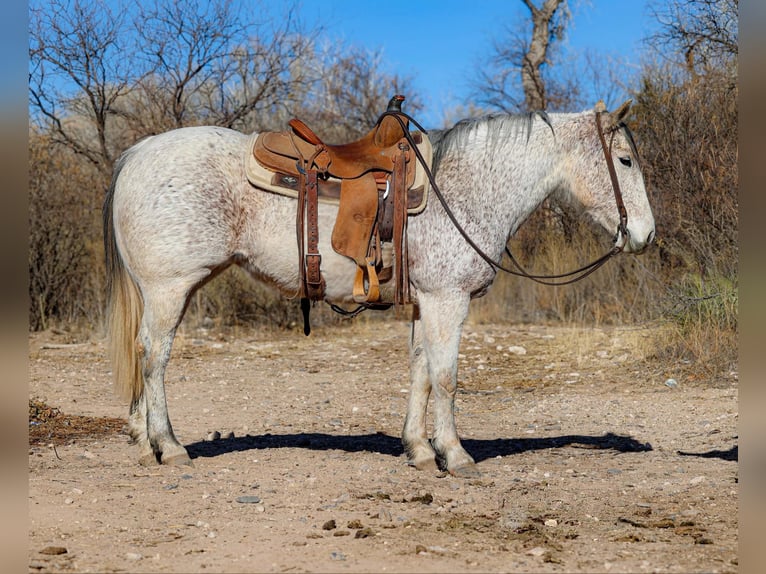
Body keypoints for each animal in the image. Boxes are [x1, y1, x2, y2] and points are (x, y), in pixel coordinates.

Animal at [103, 100, 655, 477]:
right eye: (625, 161)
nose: (646, 236)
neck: (462, 188)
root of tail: (135, 154)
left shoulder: (424, 304)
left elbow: (421, 374)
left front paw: (418, 449)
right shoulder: (448, 301)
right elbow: (447, 378)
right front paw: (455, 455)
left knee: (145, 354)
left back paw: (145, 443)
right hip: (170, 289)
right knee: (154, 356)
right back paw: (170, 446)